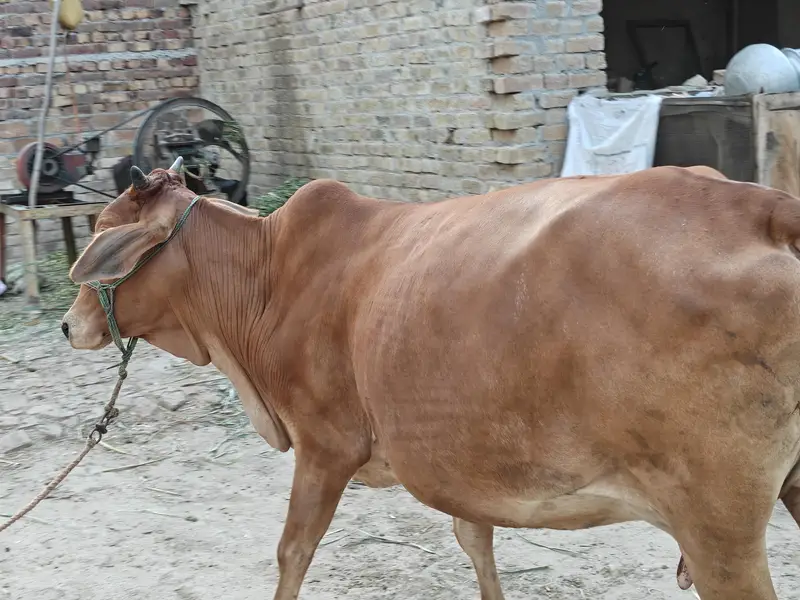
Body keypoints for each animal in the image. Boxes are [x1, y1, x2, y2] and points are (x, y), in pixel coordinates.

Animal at [61, 157, 800, 600]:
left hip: (717, 529)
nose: (70, 326)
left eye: (103, 231)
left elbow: (293, 550)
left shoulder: (325, 447)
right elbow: (474, 540)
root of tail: (764, 207)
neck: (265, 276)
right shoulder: (454, 463)